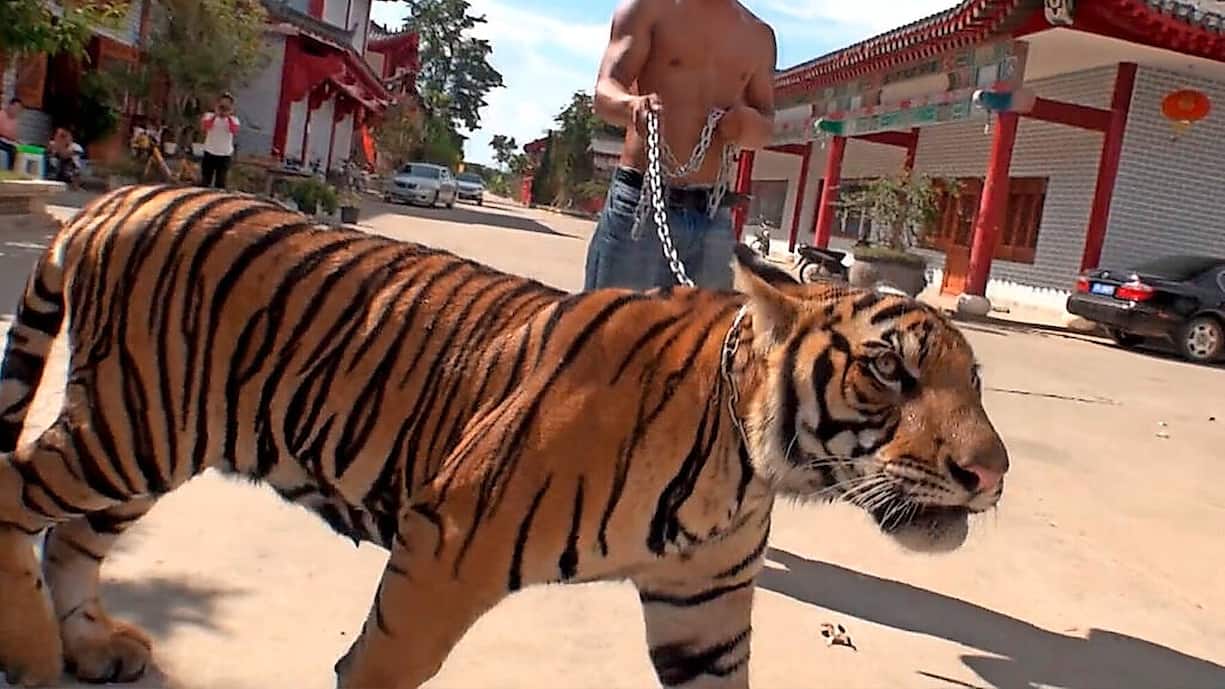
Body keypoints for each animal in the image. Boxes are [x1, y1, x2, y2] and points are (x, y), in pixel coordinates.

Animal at [0, 184, 1008, 688]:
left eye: (974, 381)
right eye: (889, 370)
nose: (990, 474)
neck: (748, 468)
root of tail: (122, 193)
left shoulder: (704, 613)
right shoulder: (446, 546)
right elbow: (381, 665)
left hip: (148, 444)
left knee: (71, 539)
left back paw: (90, 651)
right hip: (132, 425)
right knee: (14, 492)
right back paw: (33, 657)